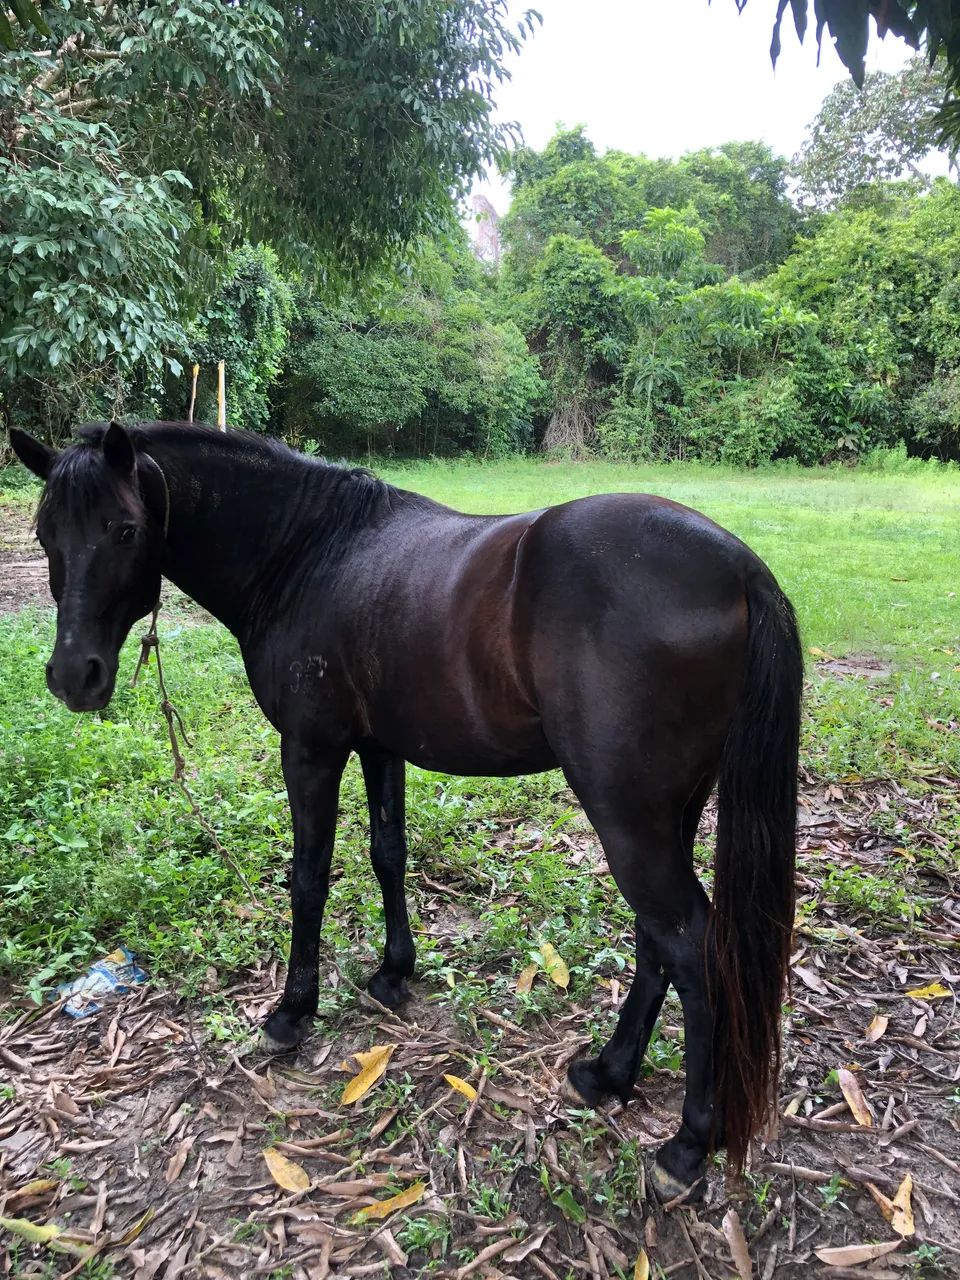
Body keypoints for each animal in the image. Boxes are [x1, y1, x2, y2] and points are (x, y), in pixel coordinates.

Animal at [10, 419, 802, 1200]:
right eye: (47, 534)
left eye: (124, 529)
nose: (73, 676)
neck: (308, 553)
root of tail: (739, 568)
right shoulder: (379, 747)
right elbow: (387, 853)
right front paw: (395, 973)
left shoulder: (311, 750)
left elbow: (309, 878)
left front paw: (293, 1011)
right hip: (665, 815)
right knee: (656, 938)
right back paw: (608, 1075)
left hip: (628, 818)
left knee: (689, 945)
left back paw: (689, 1145)